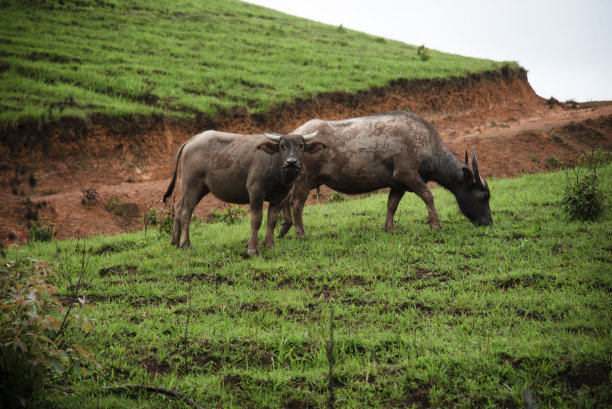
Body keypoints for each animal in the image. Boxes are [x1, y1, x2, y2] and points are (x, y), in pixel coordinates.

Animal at [163, 130, 326, 255]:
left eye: (301, 145)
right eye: (282, 145)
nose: (291, 162)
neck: (276, 171)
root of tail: (192, 140)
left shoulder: (280, 198)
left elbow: (272, 220)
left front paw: (270, 245)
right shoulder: (255, 191)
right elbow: (256, 219)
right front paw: (253, 248)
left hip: (201, 188)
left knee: (178, 207)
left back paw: (174, 241)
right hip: (192, 185)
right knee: (186, 210)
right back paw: (186, 244)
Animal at [280, 111, 494, 239]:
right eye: (485, 196)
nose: (488, 222)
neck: (427, 145)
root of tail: (296, 136)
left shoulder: (398, 184)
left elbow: (392, 204)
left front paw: (389, 228)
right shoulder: (408, 174)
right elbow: (428, 196)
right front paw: (436, 225)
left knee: (285, 200)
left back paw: (283, 229)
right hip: (304, 179)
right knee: (296, 203)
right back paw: (300, 234)